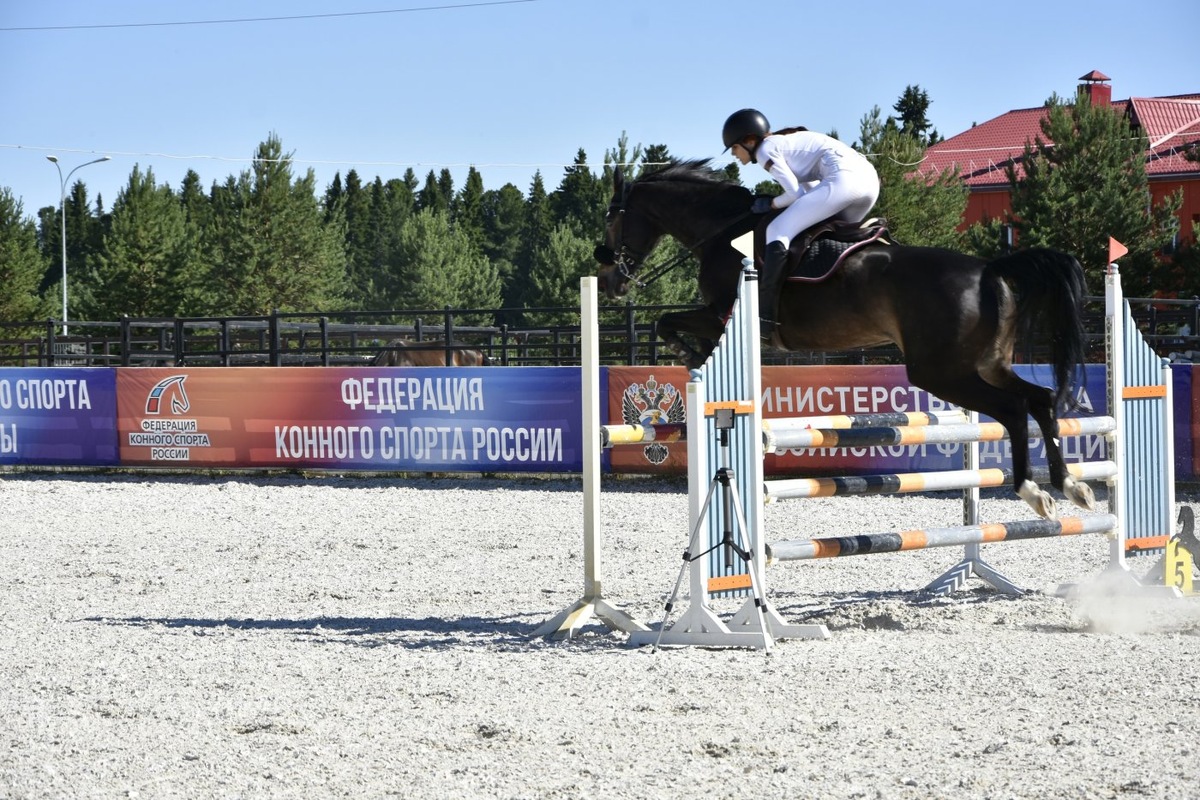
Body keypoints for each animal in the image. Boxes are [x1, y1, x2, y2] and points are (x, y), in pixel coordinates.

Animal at [595, 158, 1094, 520]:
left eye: (612, 221)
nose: (609, 282)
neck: (723, 231)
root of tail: (990, 270)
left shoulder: (721, 315)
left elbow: (667, 324)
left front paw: (691, 355)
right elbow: (668, 324)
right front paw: (694, 357)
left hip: (942, 372)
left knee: (1013, 408)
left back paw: (1032, 490)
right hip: (988, 364)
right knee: (1040, 399)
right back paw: (1071, 485)